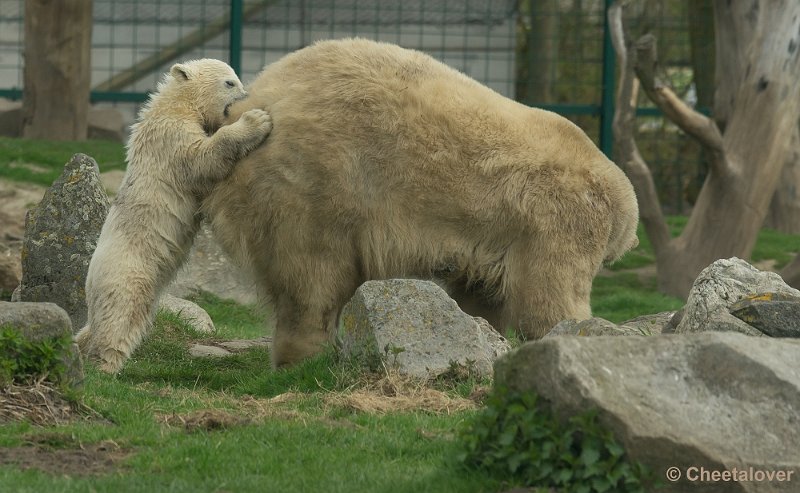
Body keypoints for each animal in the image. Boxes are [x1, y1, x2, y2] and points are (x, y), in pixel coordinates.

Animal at [202, 38, 644, 368]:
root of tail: (252, 102)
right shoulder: (555, 217)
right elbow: (547, 304)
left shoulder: (492, 240)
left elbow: (484, 296)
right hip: (317, 185)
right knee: (314, 275)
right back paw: (306, 357)